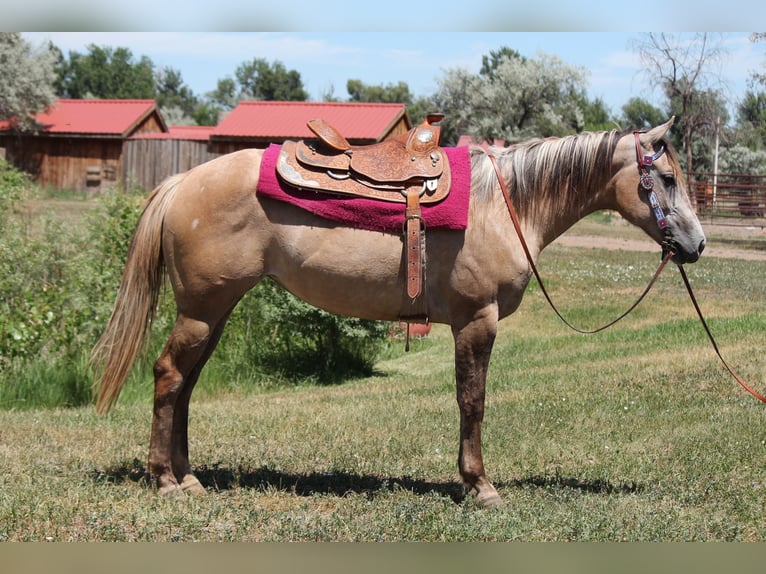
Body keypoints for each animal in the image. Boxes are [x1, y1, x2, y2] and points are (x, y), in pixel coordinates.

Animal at [91, 118, 706, 508]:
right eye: (666, 178)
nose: (697, 245)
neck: (505, 204)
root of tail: (182, 182)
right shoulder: (477, 319)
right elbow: (473, 401)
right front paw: (479, 486)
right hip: (202, 310)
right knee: (169, 375)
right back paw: (164, 480)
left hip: (214, 311)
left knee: (186, 383)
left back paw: (188, 476)